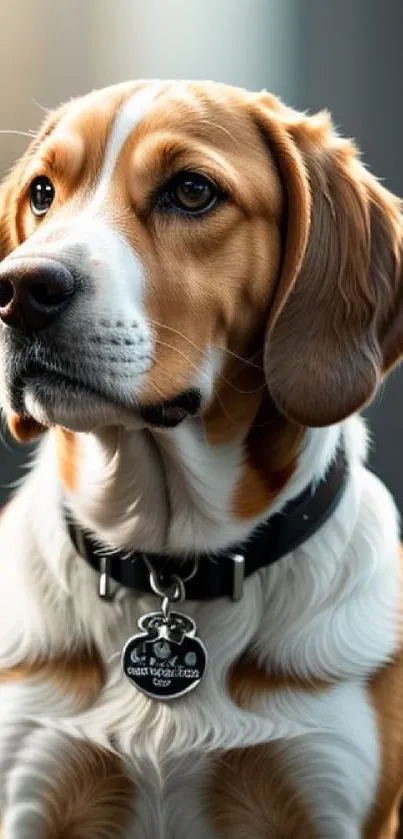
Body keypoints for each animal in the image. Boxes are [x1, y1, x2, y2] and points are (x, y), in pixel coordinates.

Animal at [0, 80, 403, 839]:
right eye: (42, 192)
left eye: (191, 191)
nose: (17, 290)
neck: (169, 562)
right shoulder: (29, 789)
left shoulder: (328, 796)